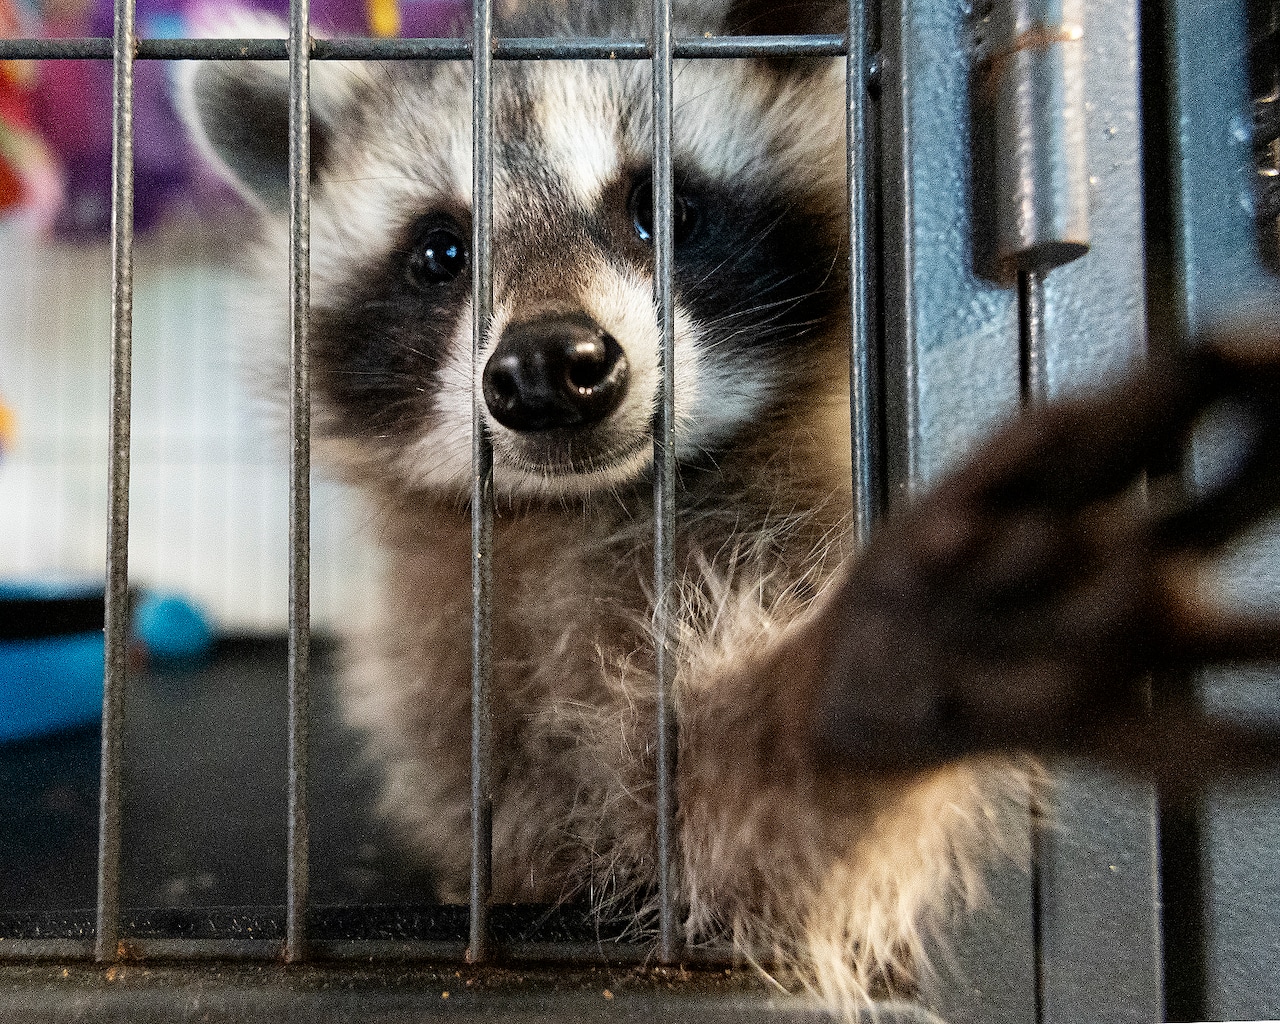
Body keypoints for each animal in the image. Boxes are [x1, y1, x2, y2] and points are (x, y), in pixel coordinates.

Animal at [178, 0, 1280, 1012]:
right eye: (440, 252)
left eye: (658, 208)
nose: (546, 367)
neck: (592, 503)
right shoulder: (452, 671)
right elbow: (644, 823)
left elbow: (708, 827)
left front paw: (823, 695)